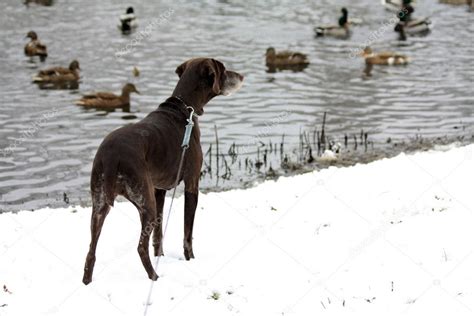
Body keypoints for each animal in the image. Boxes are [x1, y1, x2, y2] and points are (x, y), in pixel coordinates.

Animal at [81, 58, 243, 284]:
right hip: (144, 202)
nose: (242, 76)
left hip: (99, 204)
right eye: (224, 69)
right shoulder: (192, 183)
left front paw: (161, 256)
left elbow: (158, 235)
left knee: (91, 250)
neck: (185, 108)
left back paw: (87, 282)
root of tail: (112, 156)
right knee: (140, 247)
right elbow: (187, 233)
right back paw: (154, 277)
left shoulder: (159, 190)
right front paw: (190, 260)